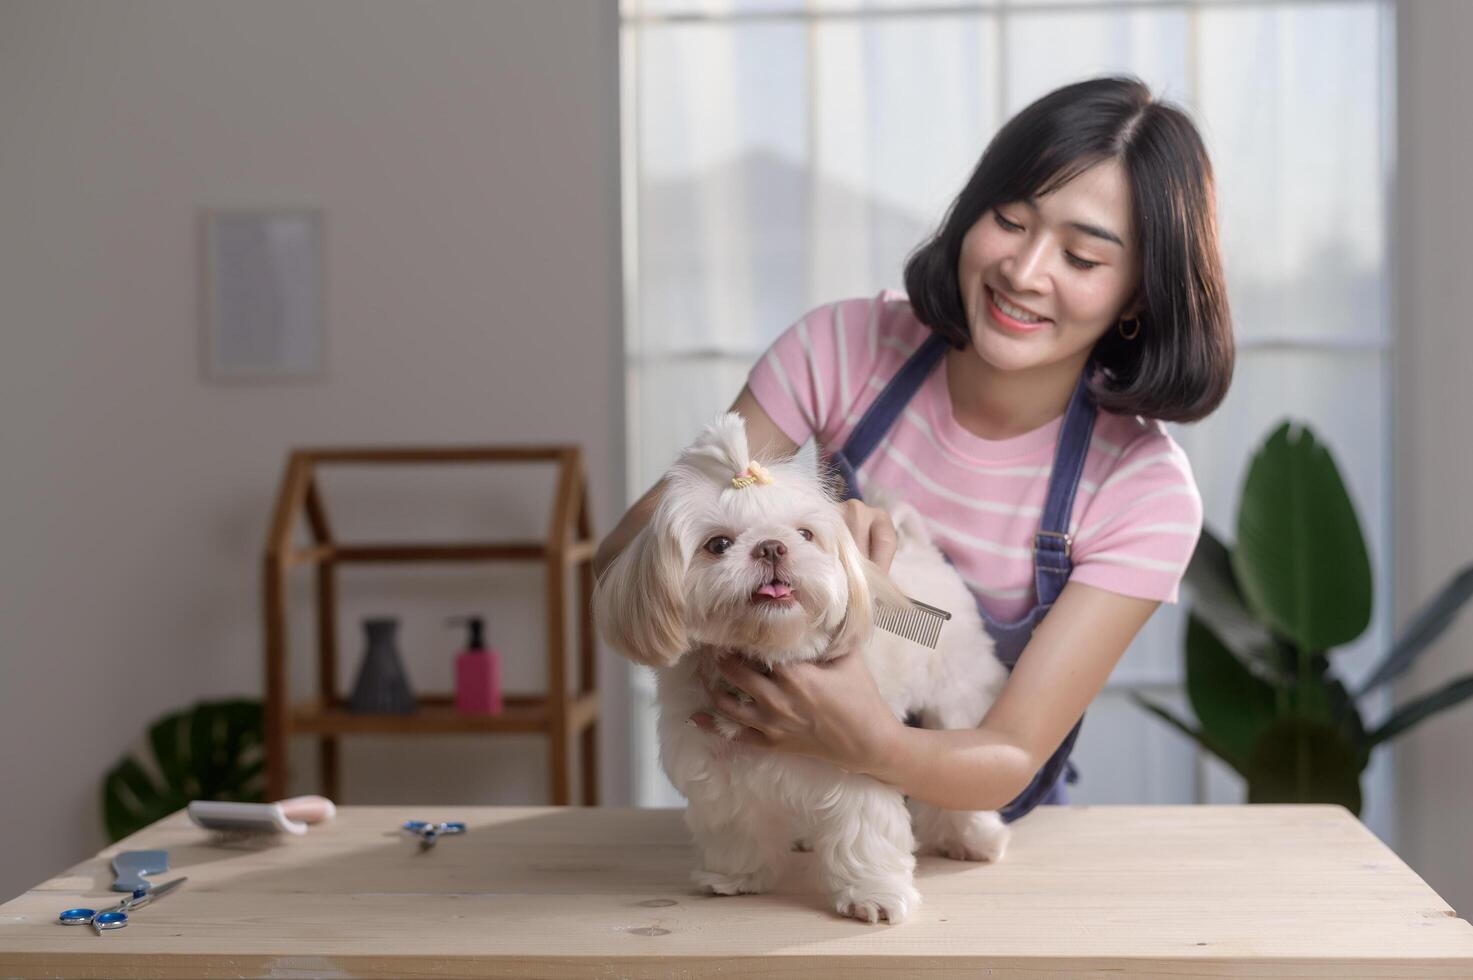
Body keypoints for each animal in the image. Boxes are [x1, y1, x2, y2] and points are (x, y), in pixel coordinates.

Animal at [592, 412, 1007, 925]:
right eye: (718, 544)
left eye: (805, 535)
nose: (772, 547)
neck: (768, 652)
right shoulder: (714, 766)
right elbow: (734, 824)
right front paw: (736, 876)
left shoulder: (860, 755)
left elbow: (866, 833)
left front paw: (875, 896)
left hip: (956, 696)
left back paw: (972, 837)